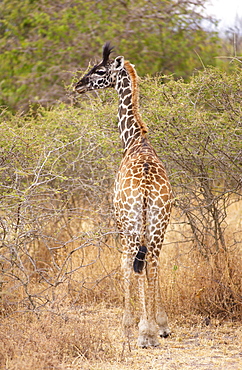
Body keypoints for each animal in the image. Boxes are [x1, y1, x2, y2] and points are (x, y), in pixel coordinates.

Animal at [74, 42, 173, 346]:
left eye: (100, 70)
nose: (78, 85)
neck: (134, 141)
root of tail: (146, 187)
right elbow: (148, 266)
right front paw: (160, 325)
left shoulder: (119, 220)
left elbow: (125, 264)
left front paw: (131, 326)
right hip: (158, 223)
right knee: (153, 261)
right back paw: (154, 329)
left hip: (131, 224)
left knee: (133, 262)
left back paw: (141, 333)